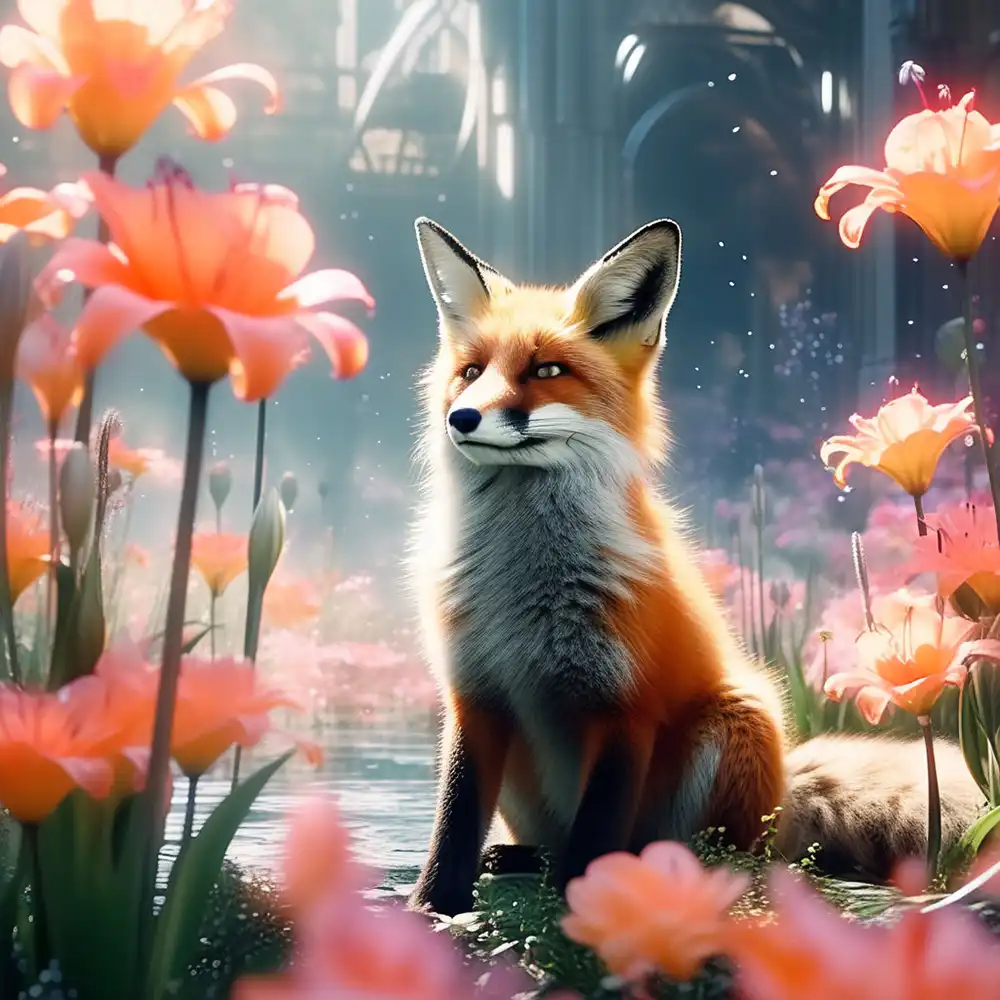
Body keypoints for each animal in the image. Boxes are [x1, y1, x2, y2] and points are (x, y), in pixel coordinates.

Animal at [406, 216, 984, 917]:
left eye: (547, 369)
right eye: (470, 372)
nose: (461, 417)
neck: (522, 585)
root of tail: (783, 795)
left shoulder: (626, 706)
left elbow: (594, 836)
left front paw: (582, 905)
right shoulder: (475, 697)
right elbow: (453, 824)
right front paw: (430, 909)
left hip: (731, 726)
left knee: (694, 853)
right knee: (549, 845)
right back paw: (520, 858)